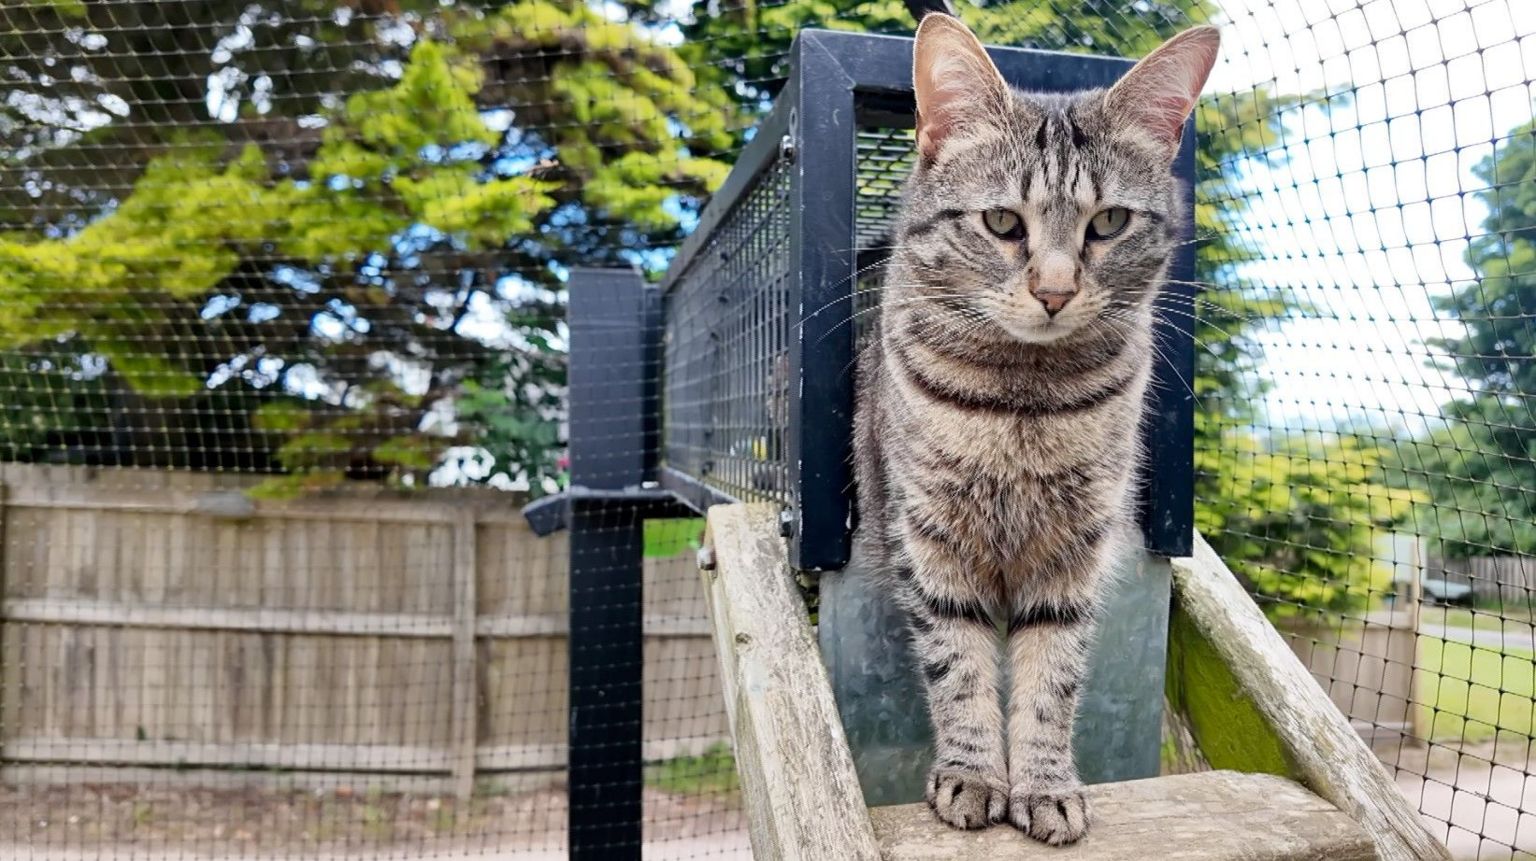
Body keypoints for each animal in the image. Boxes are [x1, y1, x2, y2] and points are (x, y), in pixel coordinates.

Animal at [847, 13, 1216, 841]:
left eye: (1109, 221)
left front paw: (1045, 783)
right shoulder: (932, 542)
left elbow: (1053, 677)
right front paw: (974, 774)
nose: (1054, 291)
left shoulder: (1074, 552)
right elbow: (959, 667)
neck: (1025, 400)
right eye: (1001, 221)